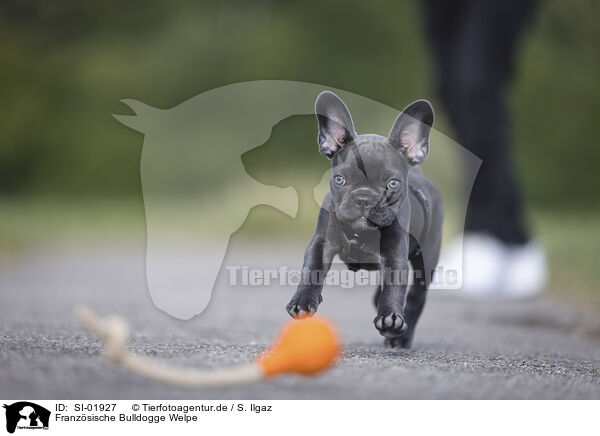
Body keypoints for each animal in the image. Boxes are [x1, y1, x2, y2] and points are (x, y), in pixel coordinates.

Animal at [286, 92, 446, 348]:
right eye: (339, 180)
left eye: (393, 183)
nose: (363, 198)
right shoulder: (322, 243)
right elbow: (312, 268)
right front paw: (302, 300)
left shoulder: (394, 253)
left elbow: (394, 286)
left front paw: (390, 318)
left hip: (427, 258)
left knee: (416, 297)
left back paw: (400, 338)